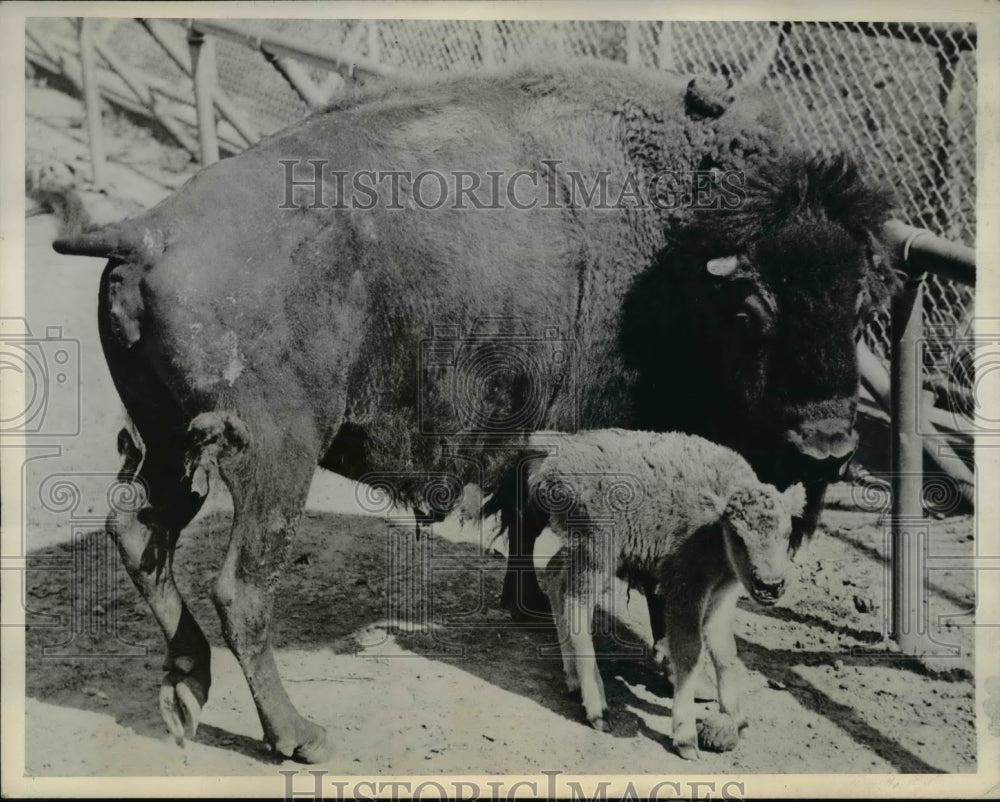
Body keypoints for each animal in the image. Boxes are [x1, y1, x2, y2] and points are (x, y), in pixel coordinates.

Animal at [488, 424, 808, 756]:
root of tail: (553, 455)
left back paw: (573, 679)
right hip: (597, 553)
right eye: (737, 535)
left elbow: (725, 650)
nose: (770, 585)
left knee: (554, 577)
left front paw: (738, 720)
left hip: (579, 551)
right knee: (576, 605)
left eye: (787, 533)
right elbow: (690, 652)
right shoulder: (684, 591)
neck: (713, 527)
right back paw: (598, 709)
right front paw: (686, 737)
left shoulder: (722, 596)